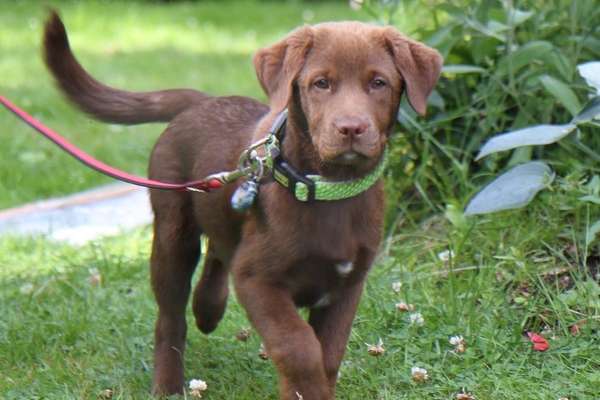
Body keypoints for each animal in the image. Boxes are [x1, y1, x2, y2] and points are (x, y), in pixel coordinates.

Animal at [42, 10, 440, 398]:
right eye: (321, 84)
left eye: (379, 83)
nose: (352, 128)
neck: (328, 187)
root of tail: (202, 101)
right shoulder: (257, 280)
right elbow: (299, 346)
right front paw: (305, 387)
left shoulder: (346, 286)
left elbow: (328, 355)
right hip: (173, 233)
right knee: (171, 316)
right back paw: (168, 384)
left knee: (219, 251)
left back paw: (207, 308)